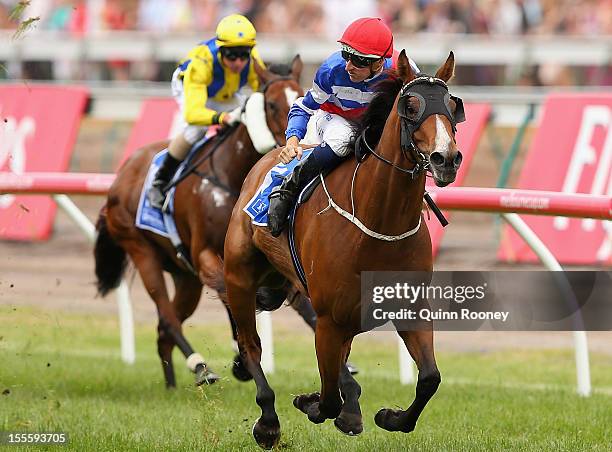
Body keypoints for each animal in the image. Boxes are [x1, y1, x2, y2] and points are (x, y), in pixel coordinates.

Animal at [94, 57, 306, 388]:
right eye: (271, 104)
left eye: (300, 96)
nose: (294, 145)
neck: (230, 174)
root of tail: (122, 173)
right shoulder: (207, 253)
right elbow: (228, 292)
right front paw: (241, 359)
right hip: (142, 251)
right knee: (167, 318)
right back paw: (199, 366)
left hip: (185, 277)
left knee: (164, 331)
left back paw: (171, 385)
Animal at [222, 51, 462, 446]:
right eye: (411, 105)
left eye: (454, 106)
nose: (447, 158)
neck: (380, 222)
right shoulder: (330, 319)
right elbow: (328, 398)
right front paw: (311, 404)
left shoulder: (409, 308)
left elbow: (430, 378)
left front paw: (390, 417)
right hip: (239, 276)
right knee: (250, 344)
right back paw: (268, 420)